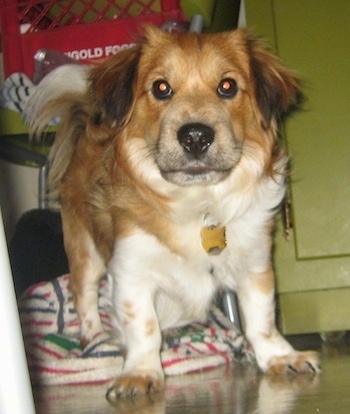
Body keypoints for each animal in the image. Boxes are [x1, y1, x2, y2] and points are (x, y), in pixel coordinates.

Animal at [24, 25, 320, 398]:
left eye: (228, 86)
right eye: (160, 88)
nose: (195, 136)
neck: (199, 203)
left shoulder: (255, 267)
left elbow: (261, 320)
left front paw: (280, 357)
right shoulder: (131, 273)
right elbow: (143, 328)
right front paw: (141, 372)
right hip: (85, 250)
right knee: (84, 296)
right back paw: (95, 339)